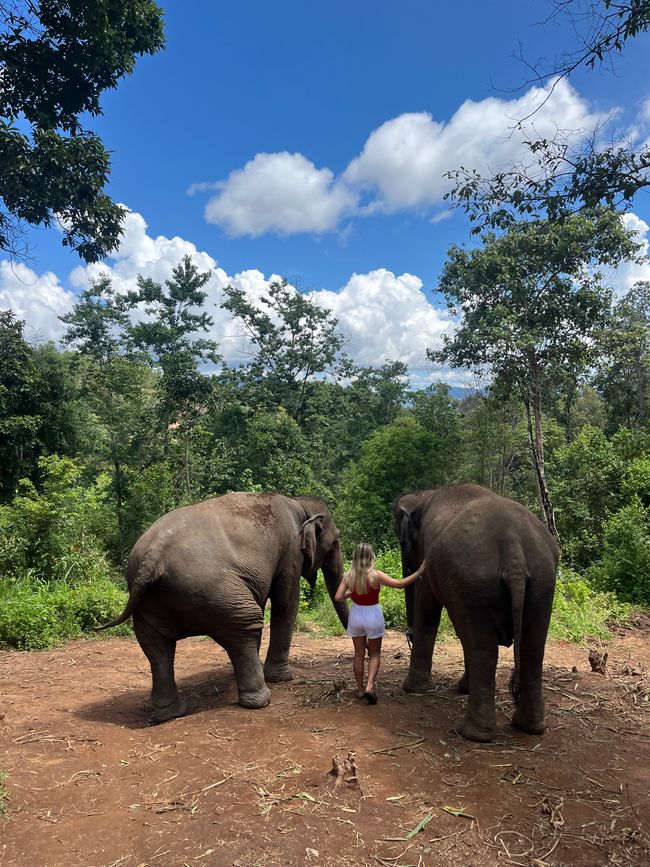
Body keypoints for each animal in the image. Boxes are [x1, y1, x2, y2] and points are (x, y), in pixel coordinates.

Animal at [100, 492, 350, 724]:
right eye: (336, 541)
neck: (297, 503)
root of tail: (154, 553)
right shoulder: (290, 551)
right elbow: (286, 603)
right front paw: (284, 678)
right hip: (213, 589)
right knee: (248, 622)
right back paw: (261, 699)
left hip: (152, 601)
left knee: (155, 646)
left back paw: (168, 714)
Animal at [394, 484, 556, 744]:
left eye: (402, 543)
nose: (408, 635)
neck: (425, 495)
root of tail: (514, 551)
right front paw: (461, 689)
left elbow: (427, 607)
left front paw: (414, 690)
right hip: (541, 582)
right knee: (530, 648)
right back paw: (527, 726)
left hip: (477, 580)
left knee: (483, 648)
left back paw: (473, 734)